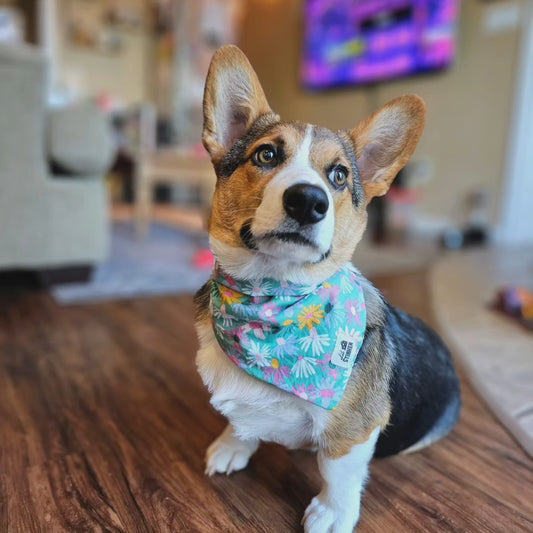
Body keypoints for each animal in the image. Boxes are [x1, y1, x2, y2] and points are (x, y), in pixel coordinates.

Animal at [193, 46, 460, 532]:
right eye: (266, 154)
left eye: (338, 176)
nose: (308, 201)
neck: (273, 303)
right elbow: (241, 424)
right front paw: (231, 446)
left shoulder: (353, 430)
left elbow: (338, 471)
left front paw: (331, 514)